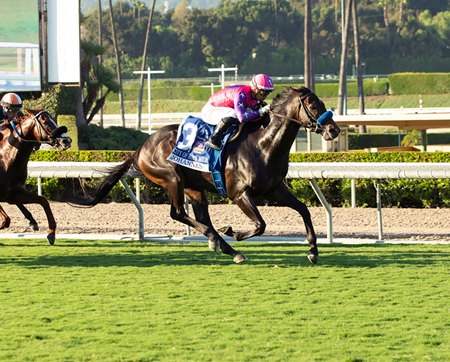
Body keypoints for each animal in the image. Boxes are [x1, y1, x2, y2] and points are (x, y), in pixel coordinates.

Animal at [0, 109, 71, 245]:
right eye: (44, 120)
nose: (66, 140)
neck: (6, 159)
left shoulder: (14, 193)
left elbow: (43, 200)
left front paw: (51, 233)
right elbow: (5, 220)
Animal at [79, 87, 340, 264]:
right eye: (313, 105)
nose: (334, 129)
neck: (263, 144)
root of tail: (142, 147)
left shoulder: (273, 188)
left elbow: (303, 210)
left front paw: (313, 251)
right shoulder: (239, 193)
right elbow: (260, 224)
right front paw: (234, 232)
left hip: (194, 187)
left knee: (202, 217)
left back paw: (224, 246)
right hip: (172, 178)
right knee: (178, 213)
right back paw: (221, 241)